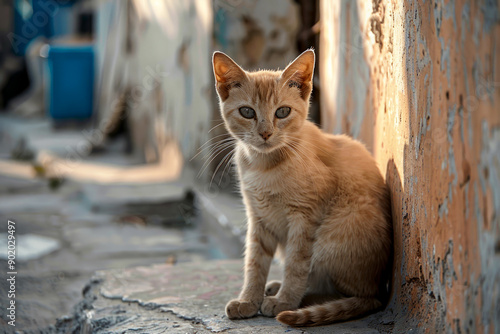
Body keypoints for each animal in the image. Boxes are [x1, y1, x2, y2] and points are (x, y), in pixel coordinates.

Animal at [211, 49, 390, 326]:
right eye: (247, 112)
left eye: (283, 112)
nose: (265, 133)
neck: (264, 165)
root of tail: (381, 288)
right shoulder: (258, 218)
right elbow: (254, 262)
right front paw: (248, 300)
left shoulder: (305, 217)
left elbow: (296, 264)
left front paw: (285, 301)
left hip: (334, 235)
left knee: (352, 295)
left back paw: (295, 298)